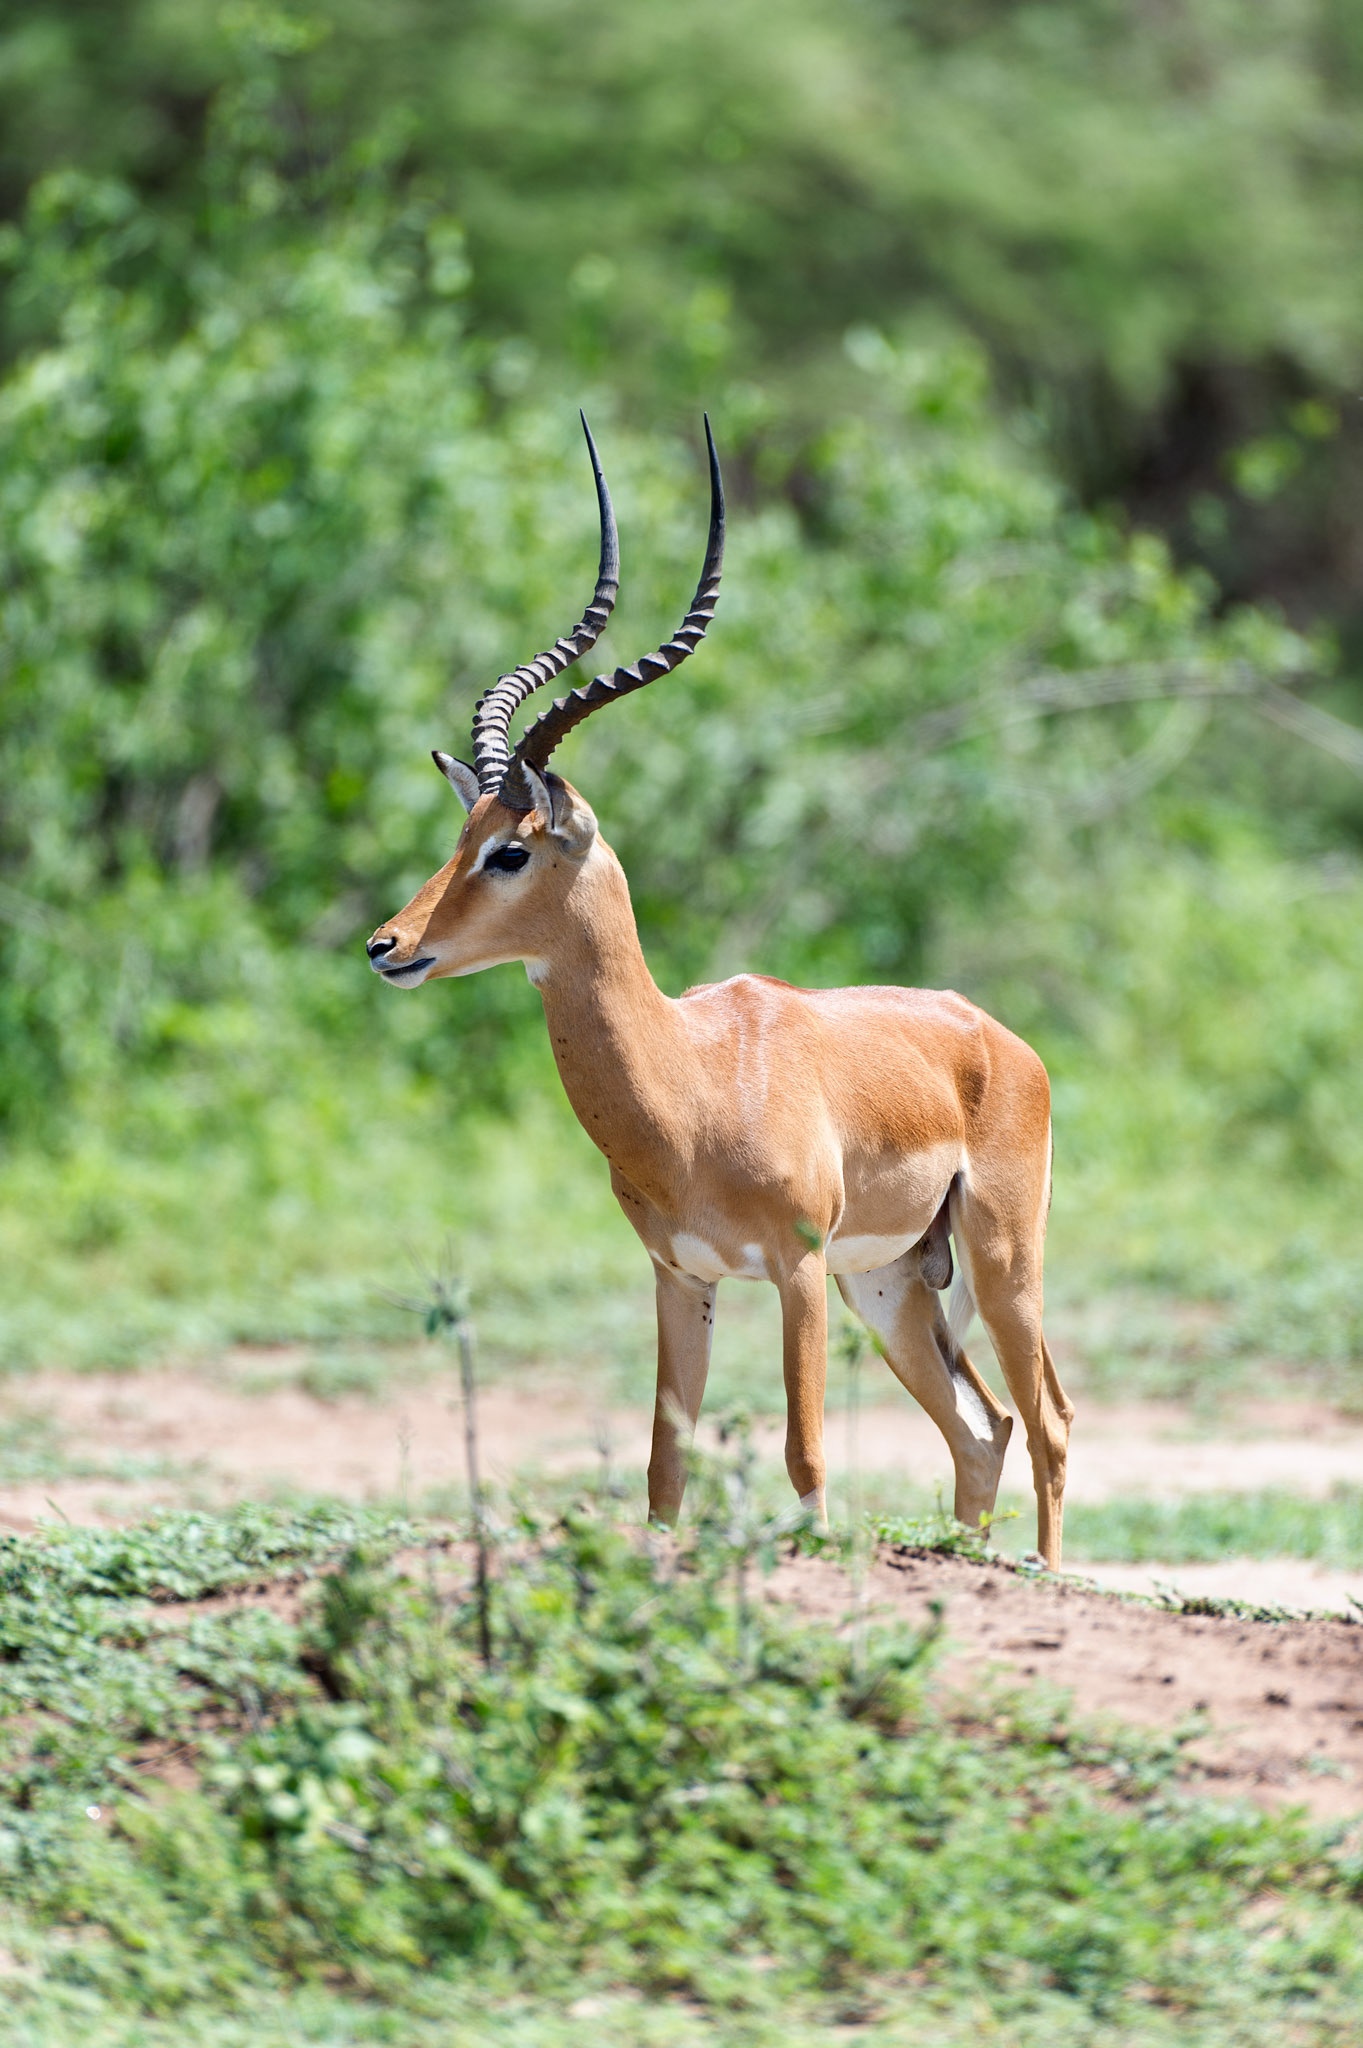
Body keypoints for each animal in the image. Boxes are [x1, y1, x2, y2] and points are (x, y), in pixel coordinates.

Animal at [368, 417, 1073, 1565]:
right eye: (459, 835)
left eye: (510, 850)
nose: (387, 946)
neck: (690, 1079)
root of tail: (996, 1035)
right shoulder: (680, 1275)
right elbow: (664, 1470)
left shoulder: (794, 1268)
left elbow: (803, 1454)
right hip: (891, 1280)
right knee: (983, 1426)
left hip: (998, 1255)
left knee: (1046, 1419)